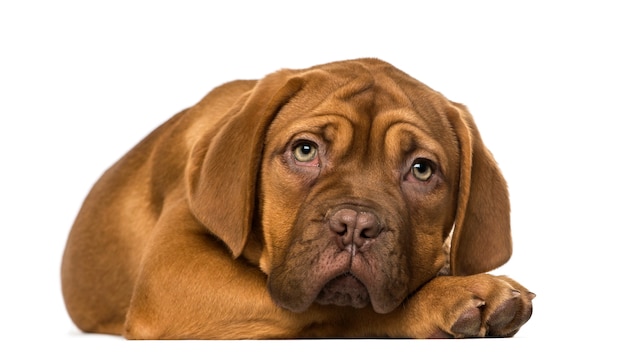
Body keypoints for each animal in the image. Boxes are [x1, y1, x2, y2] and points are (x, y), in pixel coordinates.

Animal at [61, 57, 532, 336]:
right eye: (305, 150)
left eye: (421, 169)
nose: (356, 226)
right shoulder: (172, 274)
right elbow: (348, 311)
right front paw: (449, 296)